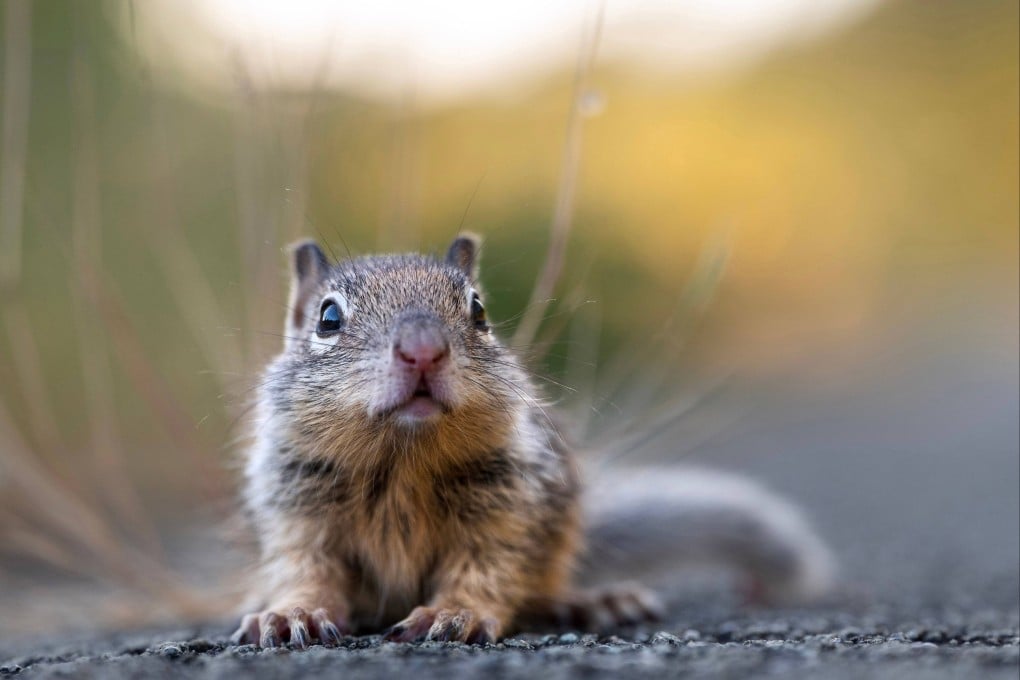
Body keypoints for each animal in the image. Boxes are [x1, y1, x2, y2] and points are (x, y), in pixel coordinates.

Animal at [230, 234, 835, 648]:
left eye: (479, 310)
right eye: (328, 317)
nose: (423, 350)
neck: (403, 458)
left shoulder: (512, 503)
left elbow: (490, 567)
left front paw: (454, 613)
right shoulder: (297, 505)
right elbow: (306, 568)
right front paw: (291, 612)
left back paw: (593, 601)